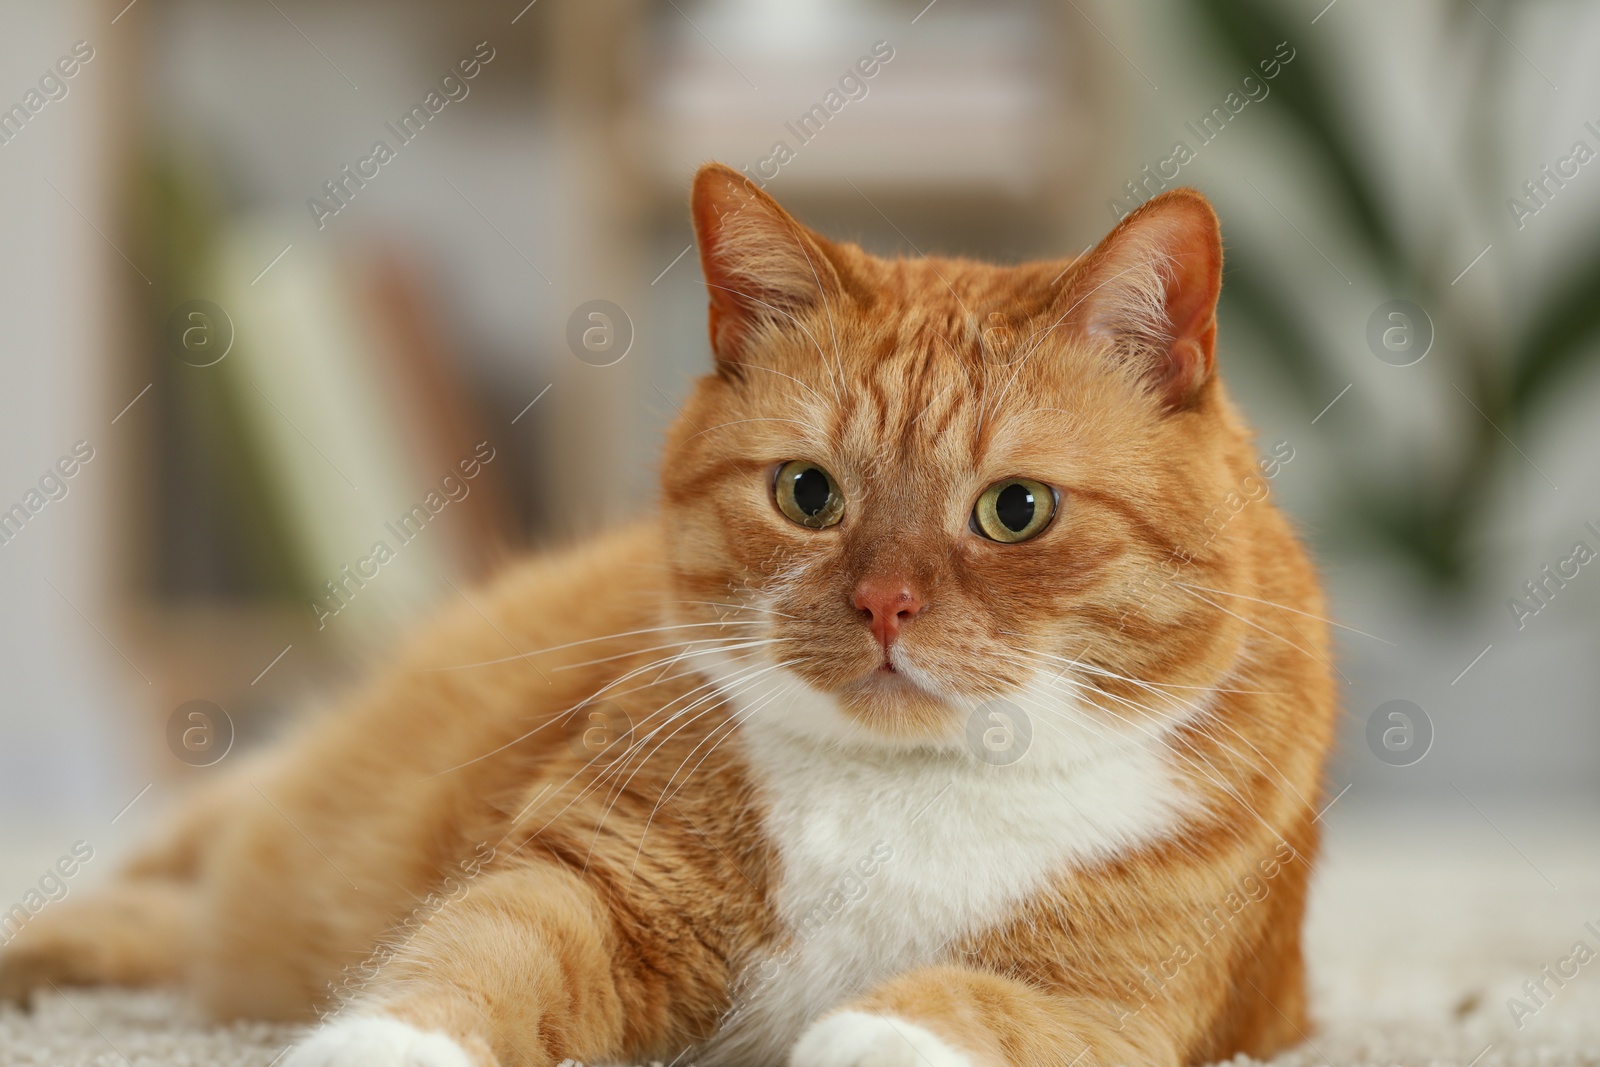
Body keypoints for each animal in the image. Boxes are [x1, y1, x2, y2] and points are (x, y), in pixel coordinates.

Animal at [0, 164, 1337, 1067]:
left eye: (1015, 509)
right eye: (808, 493)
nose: (885, 602)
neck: (906, 797)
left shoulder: (1136, 1005)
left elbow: (979, 1002)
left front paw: (871, 1031)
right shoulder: (587, 883)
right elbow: (475, 954)